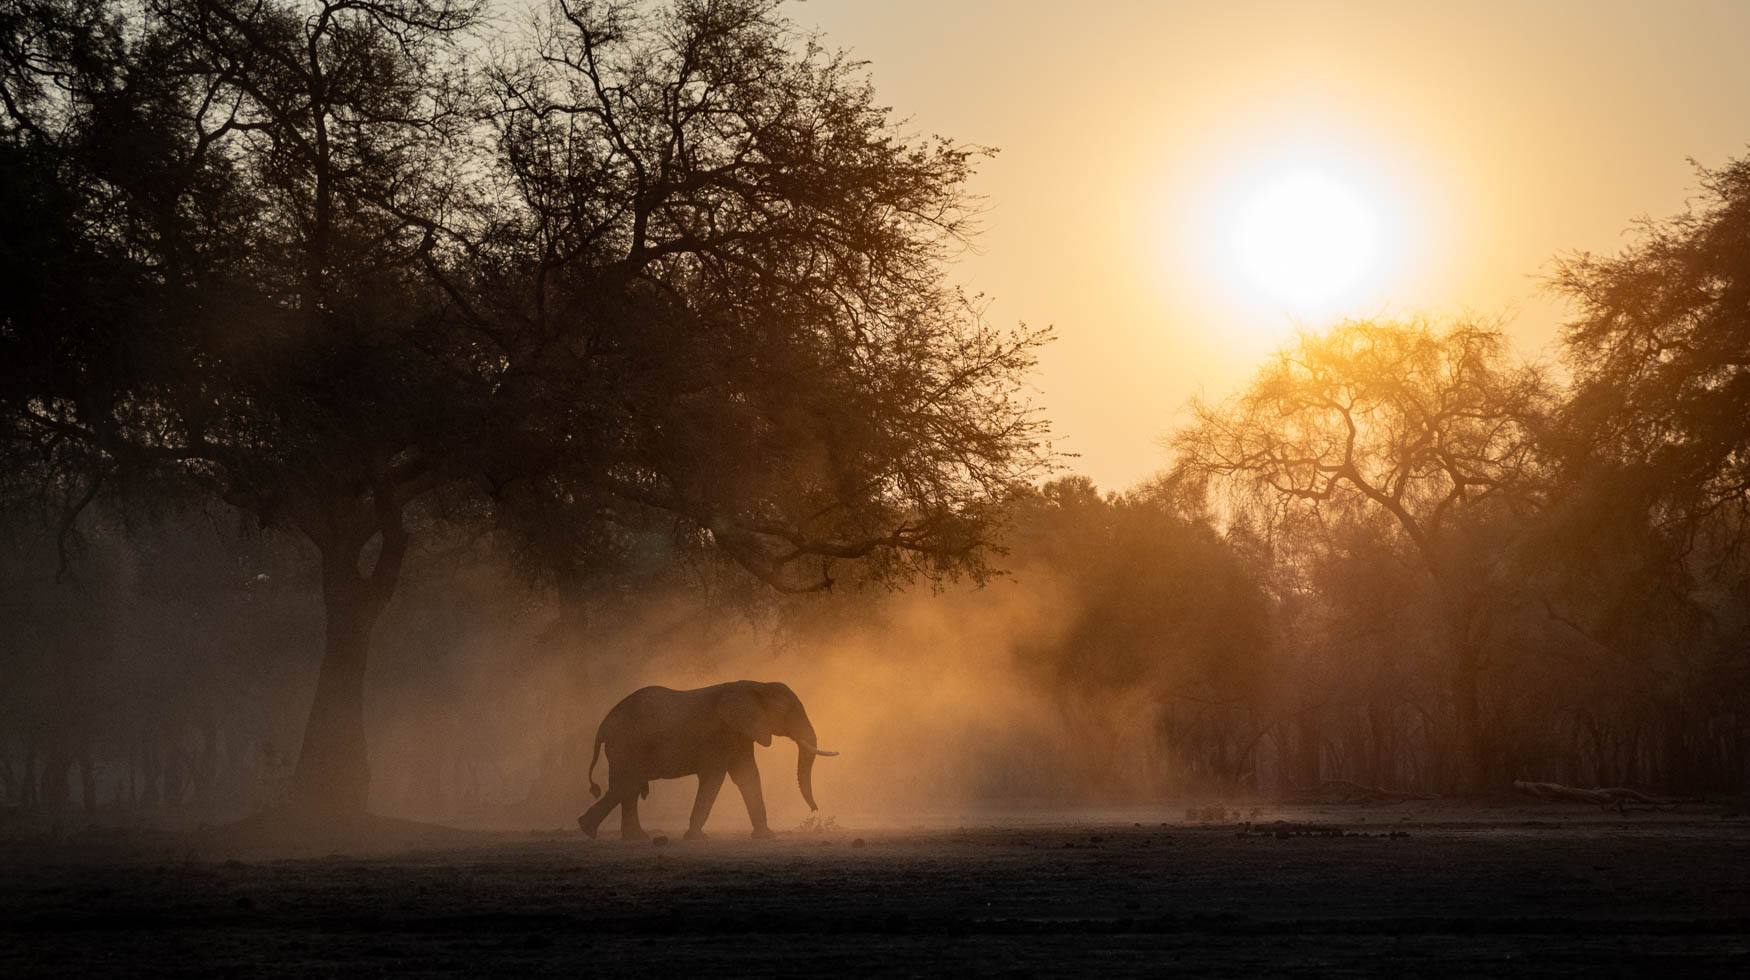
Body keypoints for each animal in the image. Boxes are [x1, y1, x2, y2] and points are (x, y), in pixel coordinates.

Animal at [577, 679, 836, 840]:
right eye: (786, 712)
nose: (814, 809)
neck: (755, 685)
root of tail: (604, 723)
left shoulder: (740, 733)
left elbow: (748, 776)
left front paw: (765, 836)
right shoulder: (720, 733)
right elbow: (714, 778)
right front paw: (696, 838)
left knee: (626, 787)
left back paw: (632, 837)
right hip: (627, 743)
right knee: (627, 783)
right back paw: (588, 830)